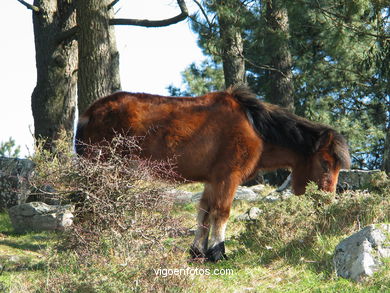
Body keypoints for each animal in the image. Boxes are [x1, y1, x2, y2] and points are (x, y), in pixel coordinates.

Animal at [75, 84, 350, 260]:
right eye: (325, 164)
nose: (327, 199)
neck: (254, 127)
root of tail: (89, 113)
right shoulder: (228, 178)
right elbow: (221, 212)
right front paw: (218, 252)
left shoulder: (211, 181)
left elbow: (204, 214)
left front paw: (198, 252)